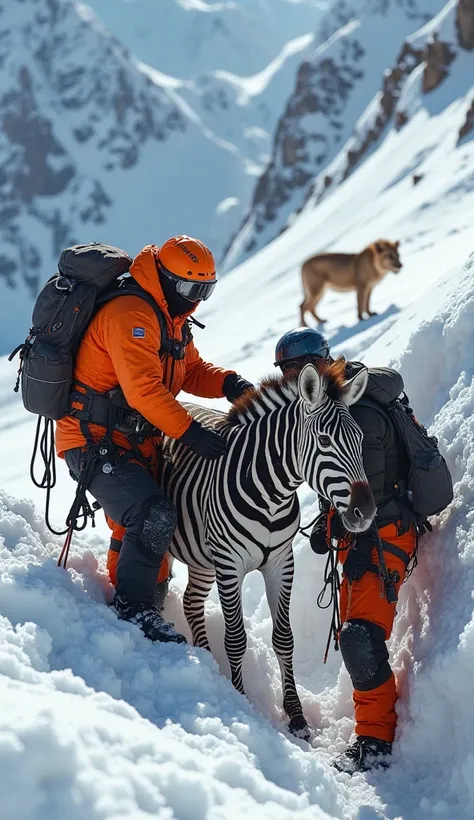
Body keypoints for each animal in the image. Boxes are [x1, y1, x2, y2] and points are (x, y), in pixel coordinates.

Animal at [161, 358, 376, 736]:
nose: (365, 512)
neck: (272, 495)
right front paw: (240, 700)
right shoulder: (229, 566)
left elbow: (284, 638)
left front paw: (296, 715)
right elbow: (236, 639)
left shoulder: (280, 562)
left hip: (202, 559)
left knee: (191, 603)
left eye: (360, 439)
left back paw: (207, 663)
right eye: (324, 440)